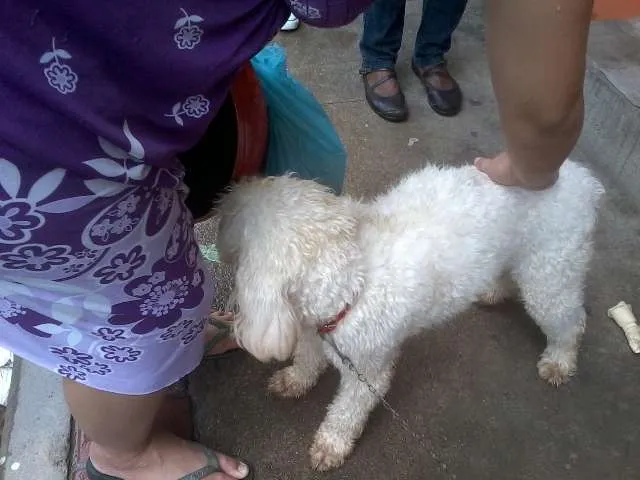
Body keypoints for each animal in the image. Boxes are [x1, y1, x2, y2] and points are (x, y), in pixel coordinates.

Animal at [215, 160, 604, 468]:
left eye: (237, 218)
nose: (228, 190)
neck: (351, 281)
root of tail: (583, 180)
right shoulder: (316, 330)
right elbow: (307, 360)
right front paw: (295, 380)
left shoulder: (368, 372)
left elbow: (346, 412)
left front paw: (332, 445)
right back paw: (494, 291)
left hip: (550, 274)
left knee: (570, 321)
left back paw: (560, 360)